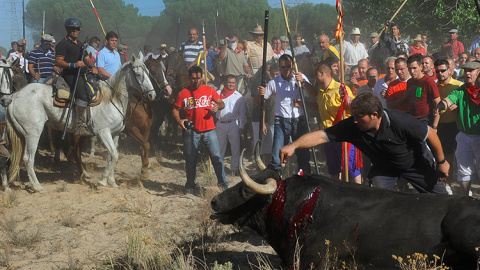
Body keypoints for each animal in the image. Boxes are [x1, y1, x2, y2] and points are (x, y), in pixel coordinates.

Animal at [5, 52, 156, 192]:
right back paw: (37, 186)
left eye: (149, 73)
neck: (112, 99)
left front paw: (112, 182)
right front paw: (102, 181)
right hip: (33, 133)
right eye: (138, 74)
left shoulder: (115, 134)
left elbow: (112, 156)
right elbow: (114, 154)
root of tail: (15, 96)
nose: (152, 95)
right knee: (28, 158)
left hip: (21, 134)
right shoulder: (103, 132)